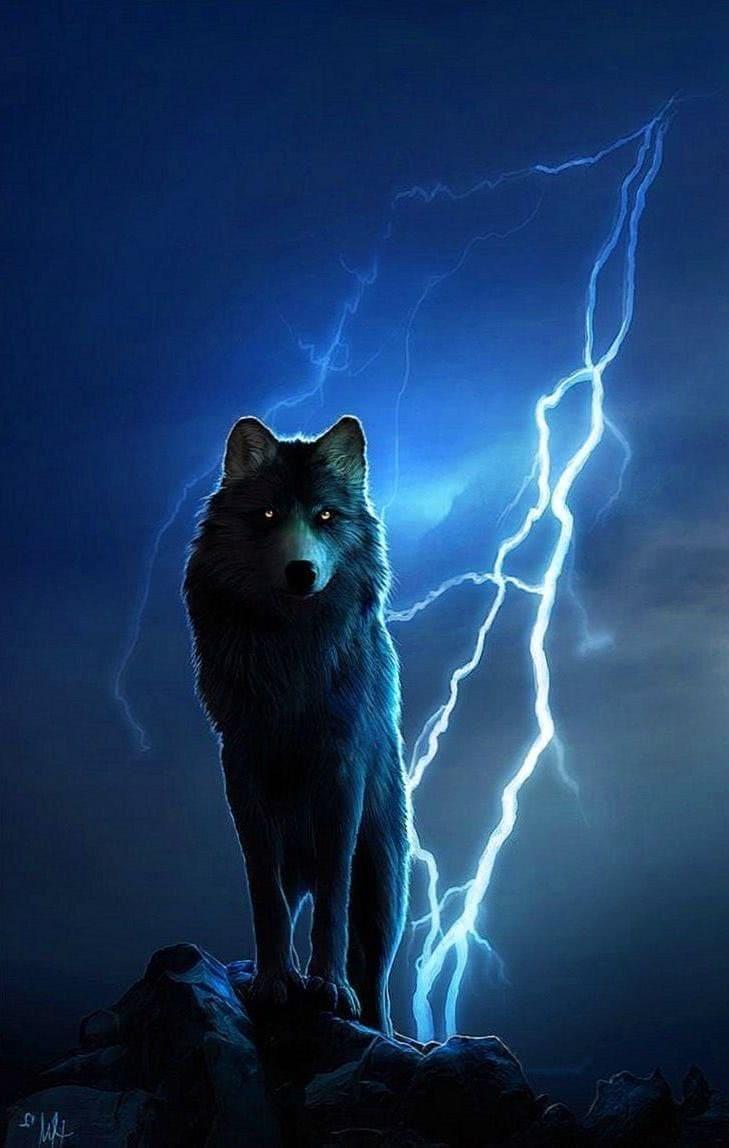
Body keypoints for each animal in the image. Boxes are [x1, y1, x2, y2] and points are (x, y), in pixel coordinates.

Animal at [183, 414, 410, 1034]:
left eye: (325, 517)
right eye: (267, 516)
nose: (301, 571)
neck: (292, 653)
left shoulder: (341, 769)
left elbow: (332, 900)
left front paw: (328, 987)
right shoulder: (240, 763)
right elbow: (267, 899)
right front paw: (273, 982)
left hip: (384, 891)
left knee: (378, 979)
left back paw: (382, 1028)